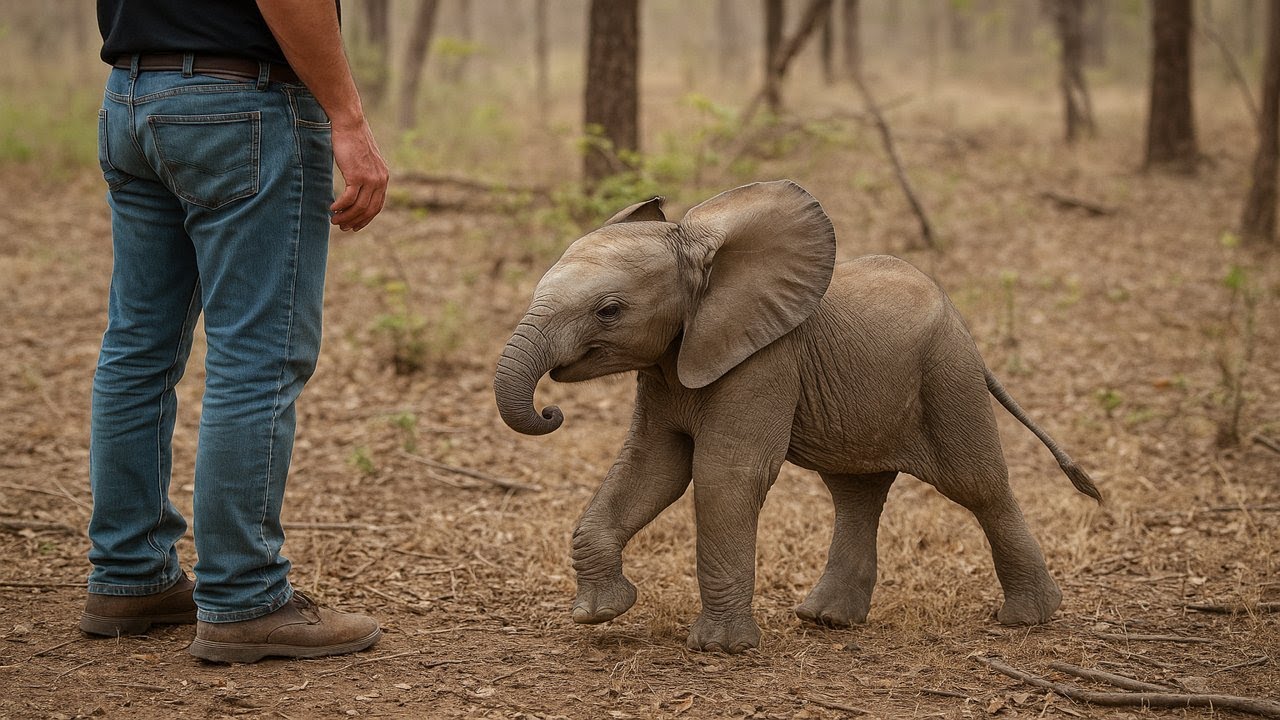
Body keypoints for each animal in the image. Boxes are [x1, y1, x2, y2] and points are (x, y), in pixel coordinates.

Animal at [493, 180, 1101, 654]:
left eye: (609, 311)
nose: (550, 409)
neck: (702, 257)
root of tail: (962, 323)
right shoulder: (669, 365)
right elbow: (652, 468)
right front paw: (600, 614)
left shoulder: (766, 360)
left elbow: (725, 473)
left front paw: (720, 649)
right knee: (856, 492)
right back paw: (826, 620)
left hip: (947, 377)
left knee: (978, 486)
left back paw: (1028, 619)